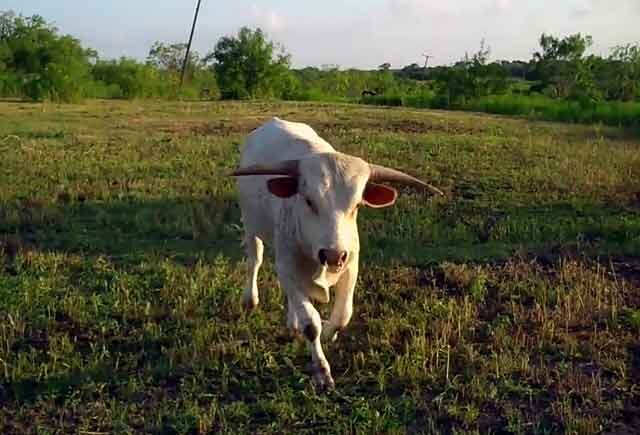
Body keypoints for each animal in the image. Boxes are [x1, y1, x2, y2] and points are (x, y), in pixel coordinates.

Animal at [232, 116, 442, 388]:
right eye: (308, 201)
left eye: (357, 206)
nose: (333, 255)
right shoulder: (287, 266)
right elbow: (310, 324)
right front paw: (322, 370)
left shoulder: (350, 266)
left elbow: (343, 315)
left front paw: (329, 333)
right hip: (251, 225)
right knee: (254, 261)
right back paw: (251, 299)